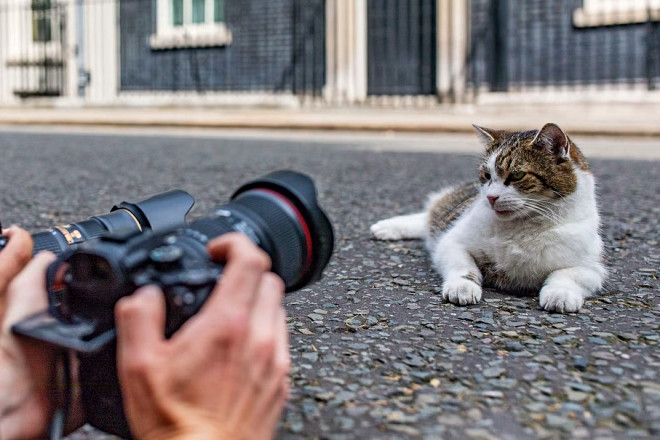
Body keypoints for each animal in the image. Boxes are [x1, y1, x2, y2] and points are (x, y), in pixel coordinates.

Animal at [368, 123, 604, 312]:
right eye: (487, 175)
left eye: (517, 175)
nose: (491, 197)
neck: (522, 227)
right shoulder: (452, 242)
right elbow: (464, 267)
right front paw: (463, 287)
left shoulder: (592, 268)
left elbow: (566, 275)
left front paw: (560, 295)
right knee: (428, 217)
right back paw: (386, 227)